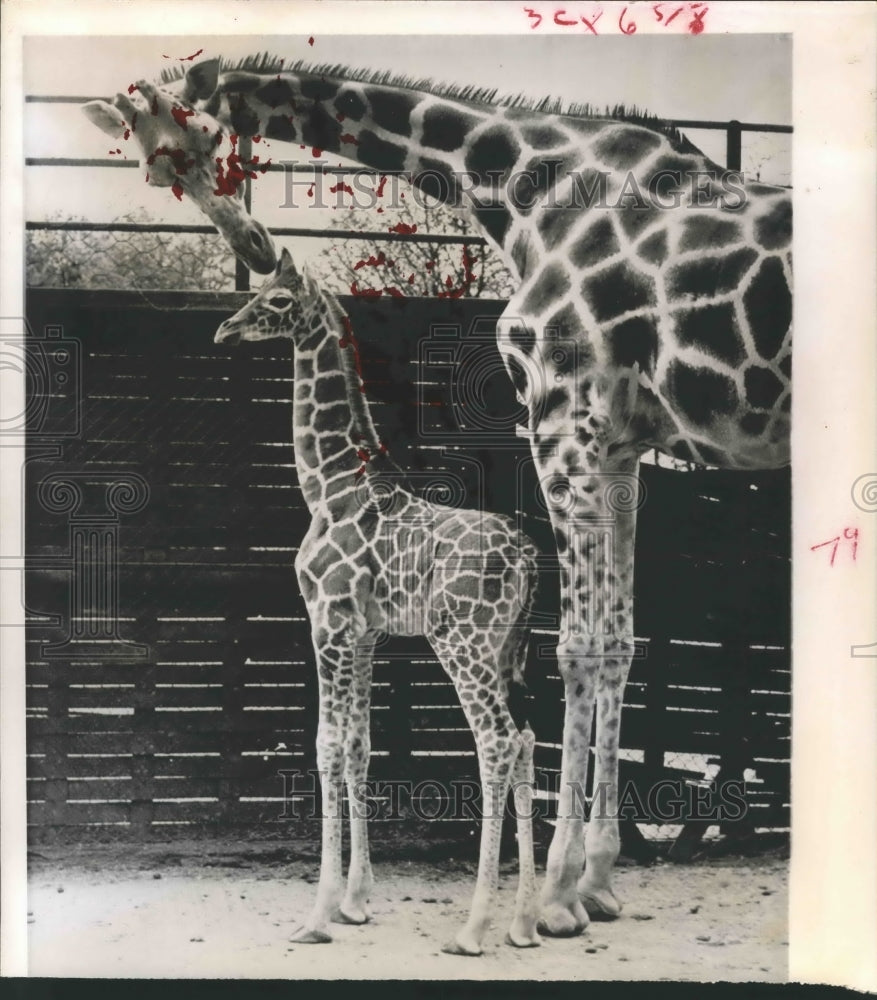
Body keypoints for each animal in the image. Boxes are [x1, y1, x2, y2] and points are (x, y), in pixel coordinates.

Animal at [214, 246, 542, 956]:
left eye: (278, 301)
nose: (227, 329)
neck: (327, 485)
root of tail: (529, 559)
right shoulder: (365, 634)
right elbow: (361, 746)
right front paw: (356, 901)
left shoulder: (328, 622)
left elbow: (328, 746)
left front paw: (317, 915)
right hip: (509, 650)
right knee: (529, 739)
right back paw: (525, 923)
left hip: (461, 642)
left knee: (496, 743)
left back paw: (474, 928)